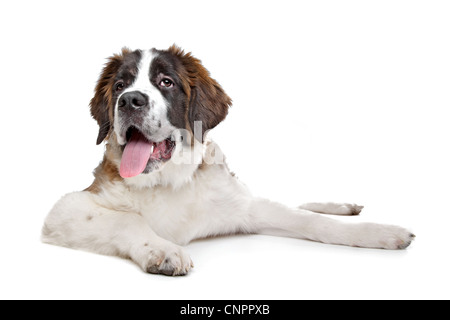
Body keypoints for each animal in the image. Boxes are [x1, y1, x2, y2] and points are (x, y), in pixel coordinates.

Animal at [42, 45, 414, 276]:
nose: (129, 100)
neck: (168, 181)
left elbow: (310, 221)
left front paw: (379, 232)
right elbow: (128, 219)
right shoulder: (66, 209)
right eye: (120, 85)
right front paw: (162, 250)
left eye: (166, 82)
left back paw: (345, 207)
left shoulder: (243, 208)